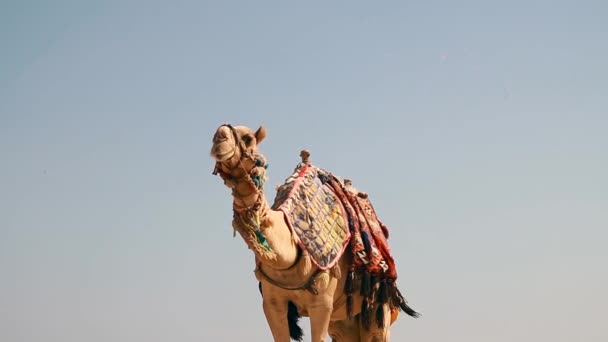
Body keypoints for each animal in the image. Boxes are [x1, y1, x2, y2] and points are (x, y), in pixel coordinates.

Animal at [210, 123, 418, 342]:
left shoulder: (322, 301)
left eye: (248, 138)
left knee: (377, 333)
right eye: (214, 135)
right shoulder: (272, 302)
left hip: (378, 306)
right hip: (343, 321)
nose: (219, 139)